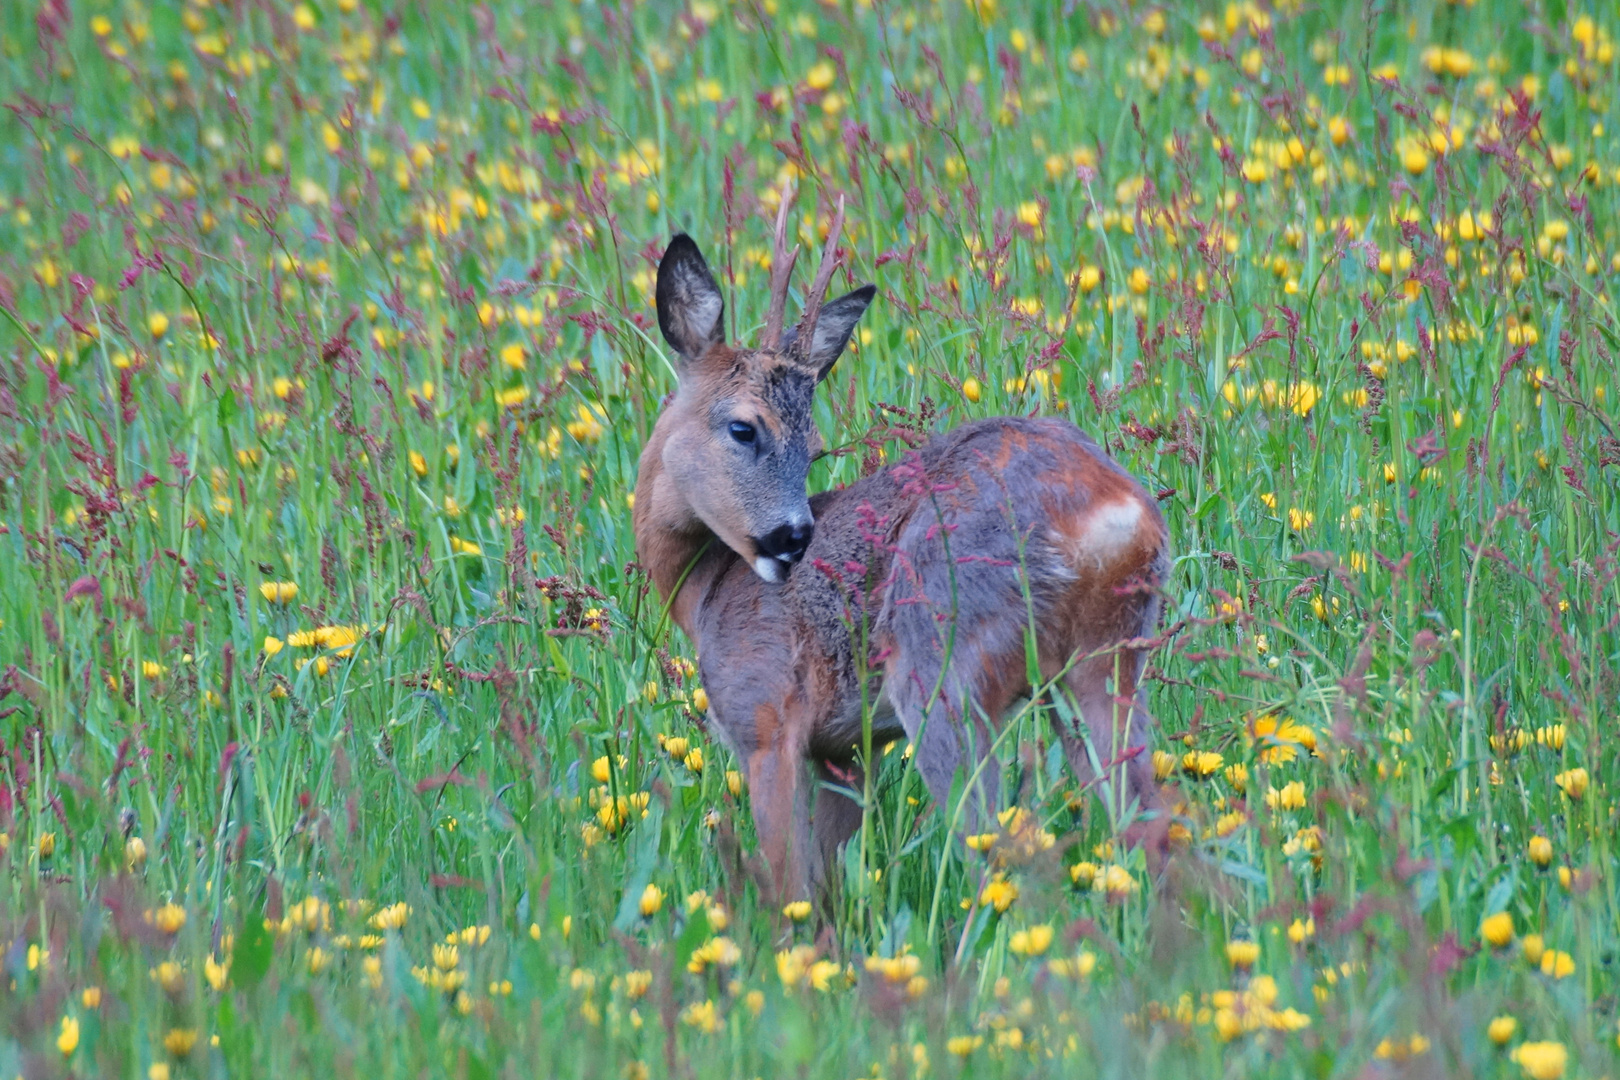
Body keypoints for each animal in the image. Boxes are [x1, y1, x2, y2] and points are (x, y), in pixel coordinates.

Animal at [628, 191, 1166, 906]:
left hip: (943, 664)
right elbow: (830, 888)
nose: (794, 538)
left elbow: (791, 891)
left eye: (812, 446)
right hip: (1104, 661)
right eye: (745, 429)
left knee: (1006, 853)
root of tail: (1114, 514)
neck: (705, 591)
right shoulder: (845, 747)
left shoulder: (763, 717)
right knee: (1158, 826)